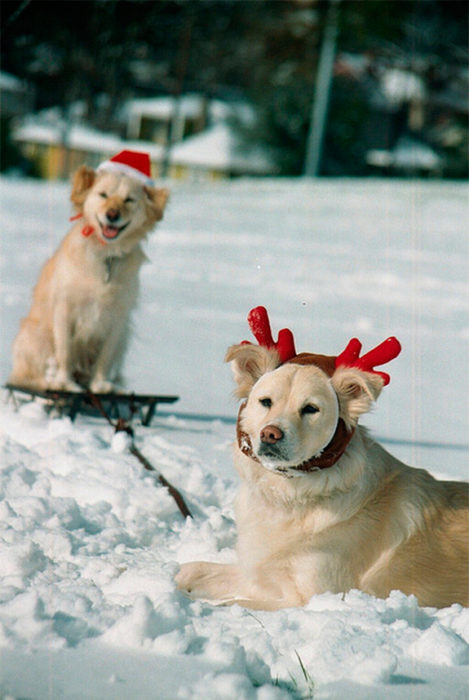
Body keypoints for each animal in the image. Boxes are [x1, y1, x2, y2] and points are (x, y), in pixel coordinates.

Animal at [9, 149, 168, 394]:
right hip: (37, 336)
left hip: (124, 339)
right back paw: (48, 380)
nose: (112, 214)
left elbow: (105, 357)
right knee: (23, 377)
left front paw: (100, 385)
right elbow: (65, 352)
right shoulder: (65, 309)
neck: (107, 255)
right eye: (103, 195)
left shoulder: (118, 318)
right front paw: (64, 383)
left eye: (129, 199)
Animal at [176, 306, 468, 608]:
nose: (270, 434)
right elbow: (194, 570)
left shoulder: (313, 596)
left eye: (311, 408)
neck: (289, 495)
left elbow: (234, 602)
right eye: (265, 401)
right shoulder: (259, 572)